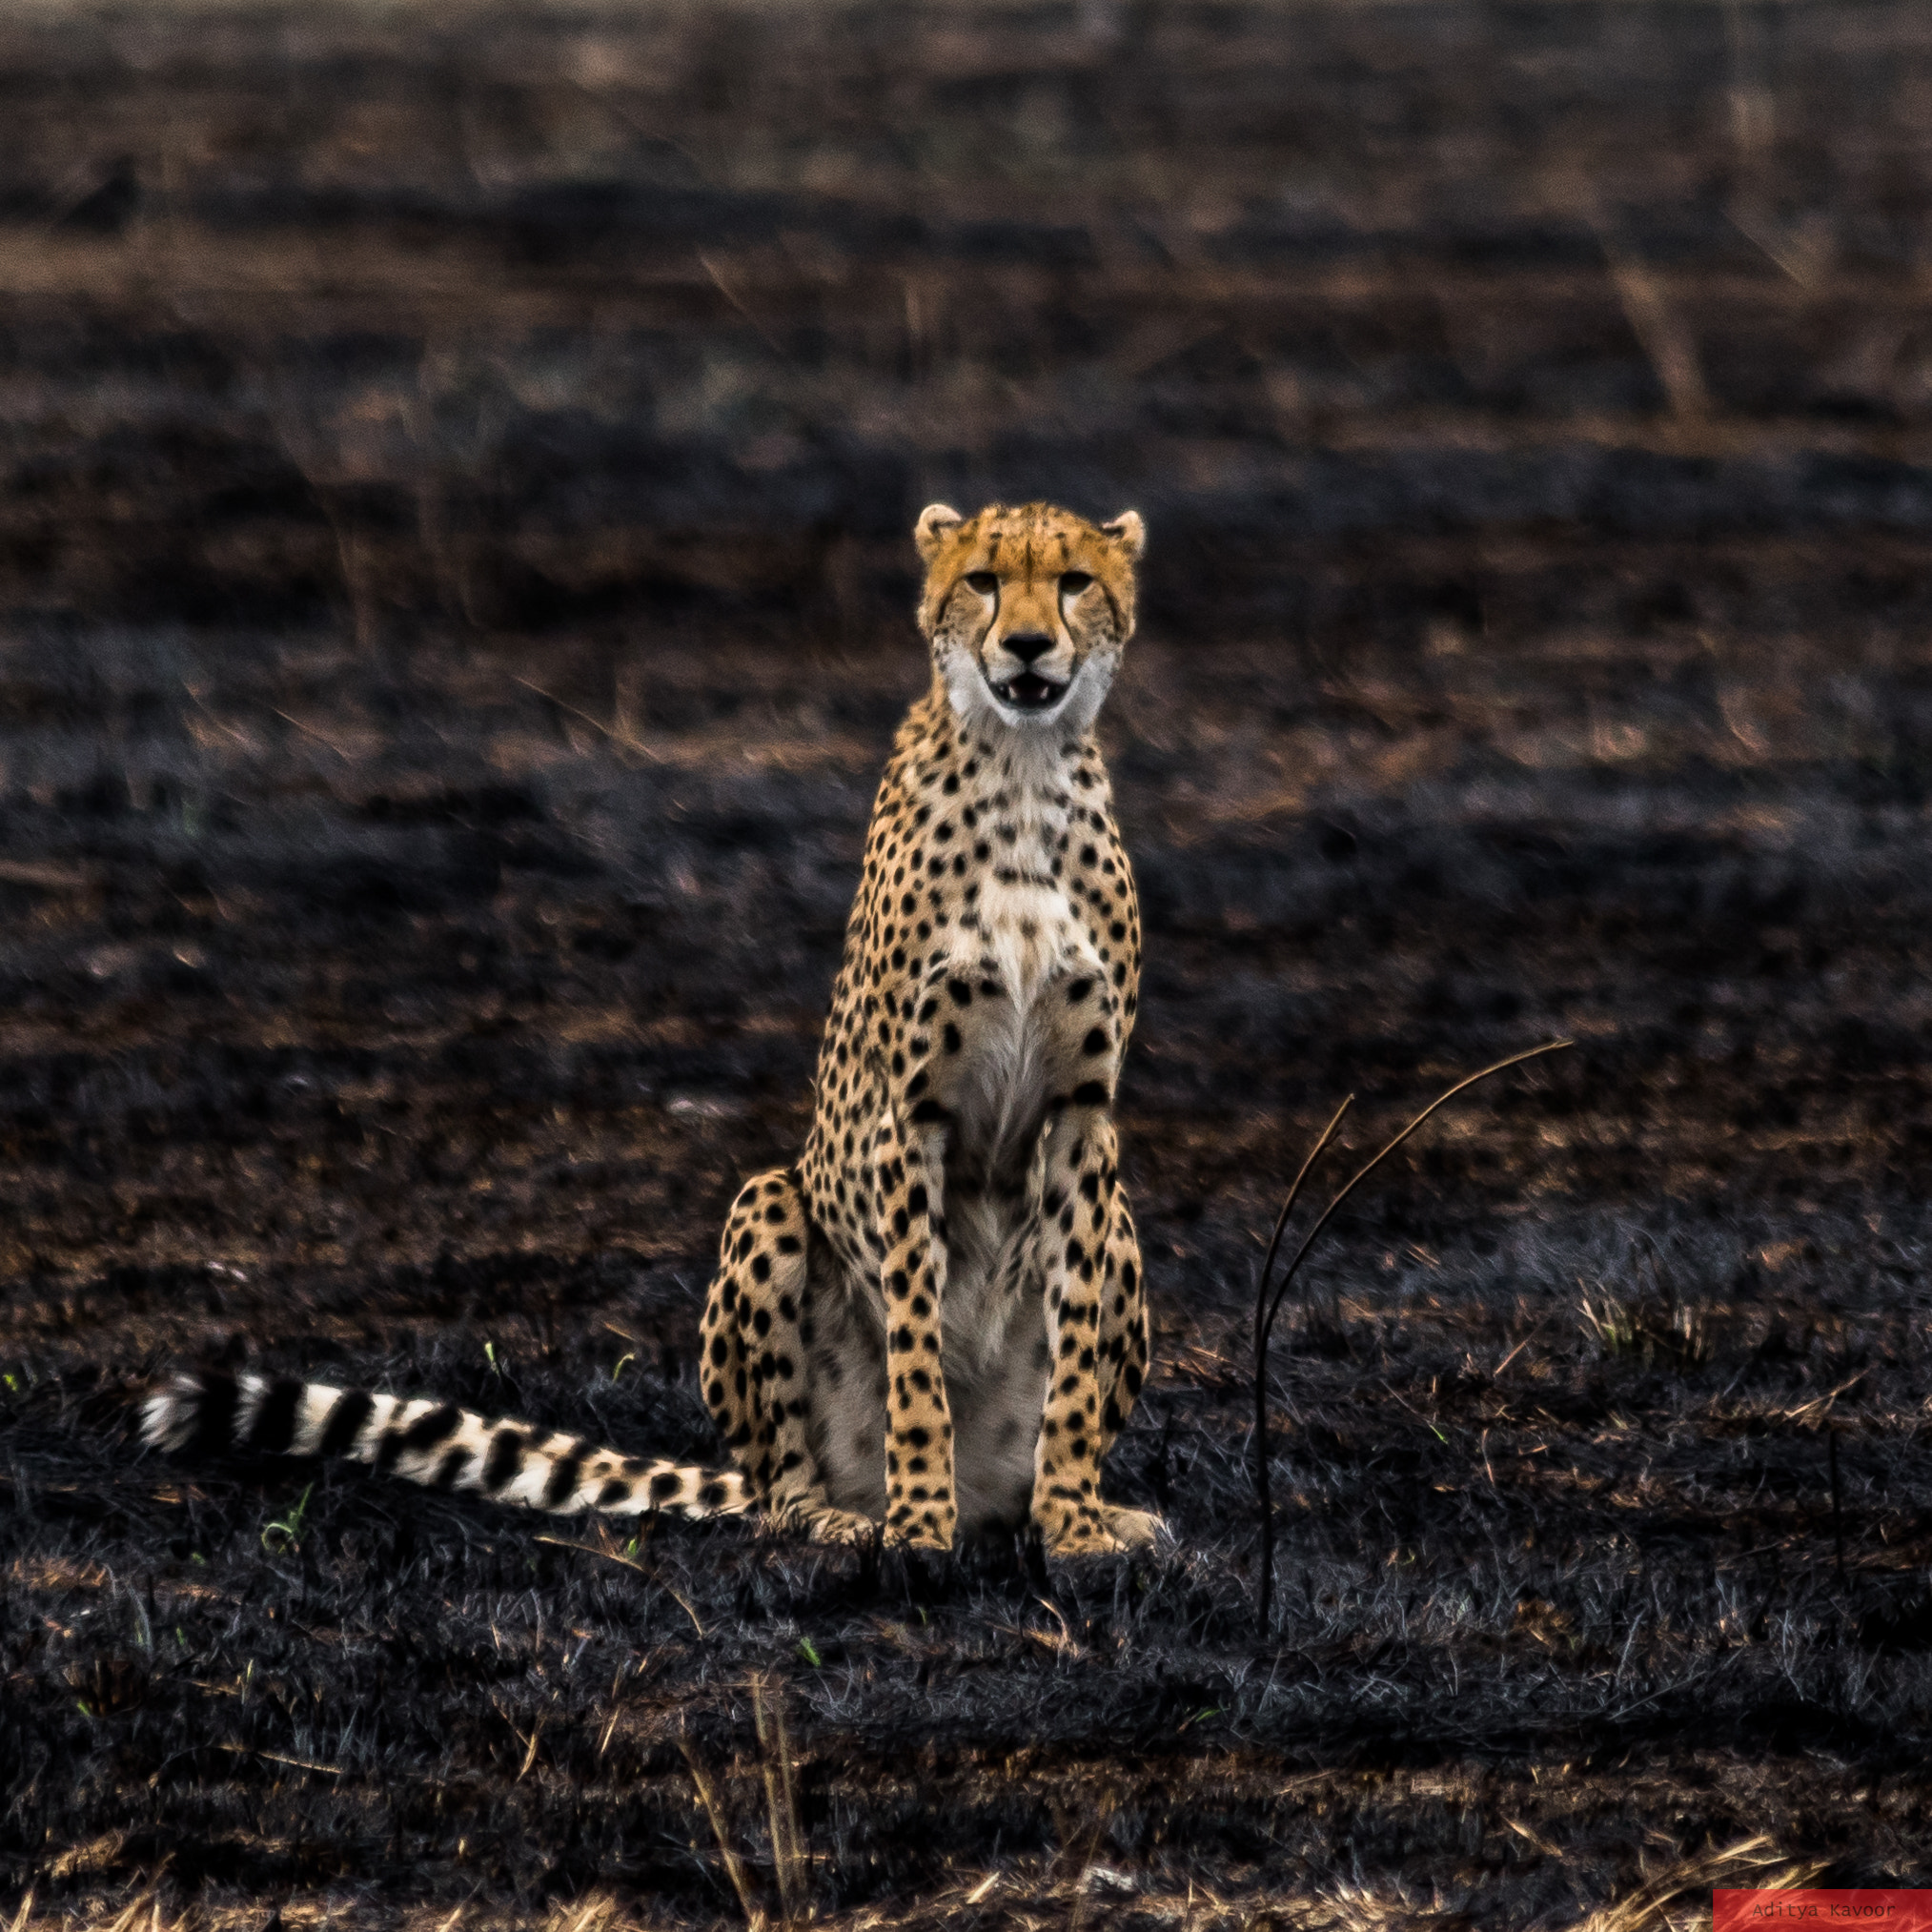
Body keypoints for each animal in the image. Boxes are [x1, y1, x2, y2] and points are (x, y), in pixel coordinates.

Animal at [142, 498, 1159, 1553]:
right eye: (983, 580)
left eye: (1075, 581)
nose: (1028, 644)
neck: (1022, 773)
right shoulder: (908, 1112)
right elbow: (915, 1347)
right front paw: (920, 1524)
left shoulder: (1084, 1116)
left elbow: (1072, 1357)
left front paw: (1075, 1525)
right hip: (767, 1204)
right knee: (781, 1482)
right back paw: (850, 1518)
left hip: (1121, 1224)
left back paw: (1062, 1509)